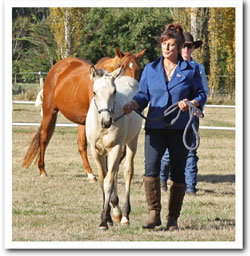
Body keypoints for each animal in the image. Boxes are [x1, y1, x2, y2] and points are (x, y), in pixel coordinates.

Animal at [23, 47, 146, 180]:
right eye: (120, 65)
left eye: (139, 68)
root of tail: (57, 68)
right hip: (49, 111)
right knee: (44, 138)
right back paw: (42, 170)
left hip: (81, 122)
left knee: (81, 145)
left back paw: (89, 173)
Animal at [86, 66, 143, 230]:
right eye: (94, 92)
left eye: (114, 92)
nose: (106, 121)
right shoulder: (96, 151)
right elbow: (102, 179)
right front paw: (108, 217)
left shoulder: (115, 149)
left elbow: (108, 182)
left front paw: (104, 221)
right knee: (115, 171)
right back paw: (116, 211)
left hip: (131, 142)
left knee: (127, 171)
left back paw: (124, 216)